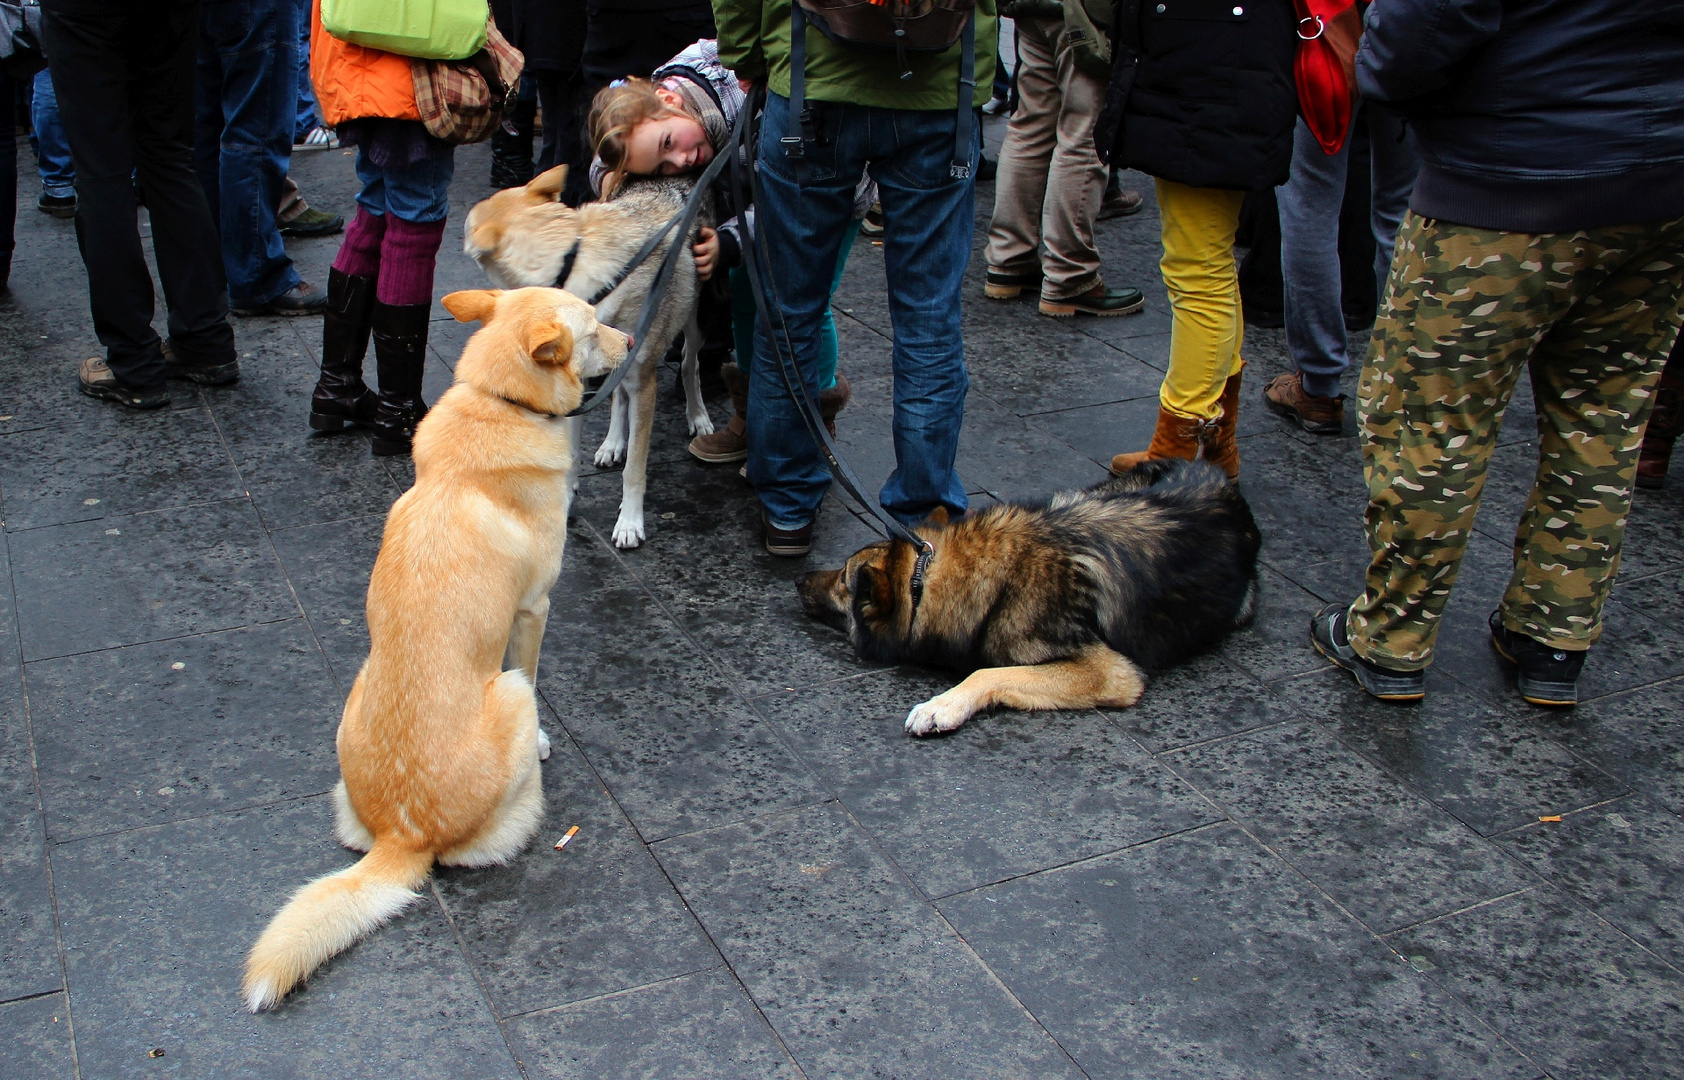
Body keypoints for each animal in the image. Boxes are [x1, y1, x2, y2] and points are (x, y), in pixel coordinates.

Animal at [240, 286, 629, 1010]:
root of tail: (403, 835)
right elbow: (532, 663)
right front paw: (546, 744)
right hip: (508, 698)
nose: (632, 340)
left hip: (357, 692)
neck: (500, 400)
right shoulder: (534, 610)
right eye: (594, 327)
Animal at [464, 164, 714, 552]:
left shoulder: (644, 383)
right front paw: (566, 501)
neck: (572, 266)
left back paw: (698, 416)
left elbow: (635, 469)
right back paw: (612, 443)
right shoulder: (580, 382)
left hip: (693, 322)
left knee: (690, 364)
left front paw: (630, 523)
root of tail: (678, 176)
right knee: (618, 397)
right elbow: (571, 457)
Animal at [794, 458, 1259, 737]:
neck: (925, 579)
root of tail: (1211, 468)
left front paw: (941, 706)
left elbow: (987, 672)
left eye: (845, 580)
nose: (798, 581)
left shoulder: (1111, 672)